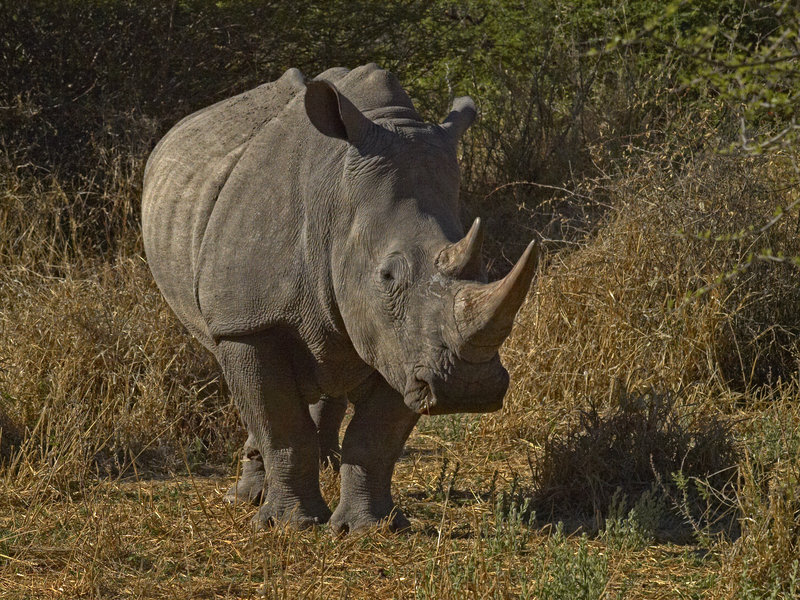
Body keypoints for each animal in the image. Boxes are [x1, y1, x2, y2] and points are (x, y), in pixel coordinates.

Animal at [142, 64, 538, 533]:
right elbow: (280, 426)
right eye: (387, 276)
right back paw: (249, 498)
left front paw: (367, 529)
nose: (468, 389)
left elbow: (375, 437)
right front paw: (289, 526)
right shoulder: (248, 321)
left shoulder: (403, 345)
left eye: (484, 272)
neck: (337, 209)